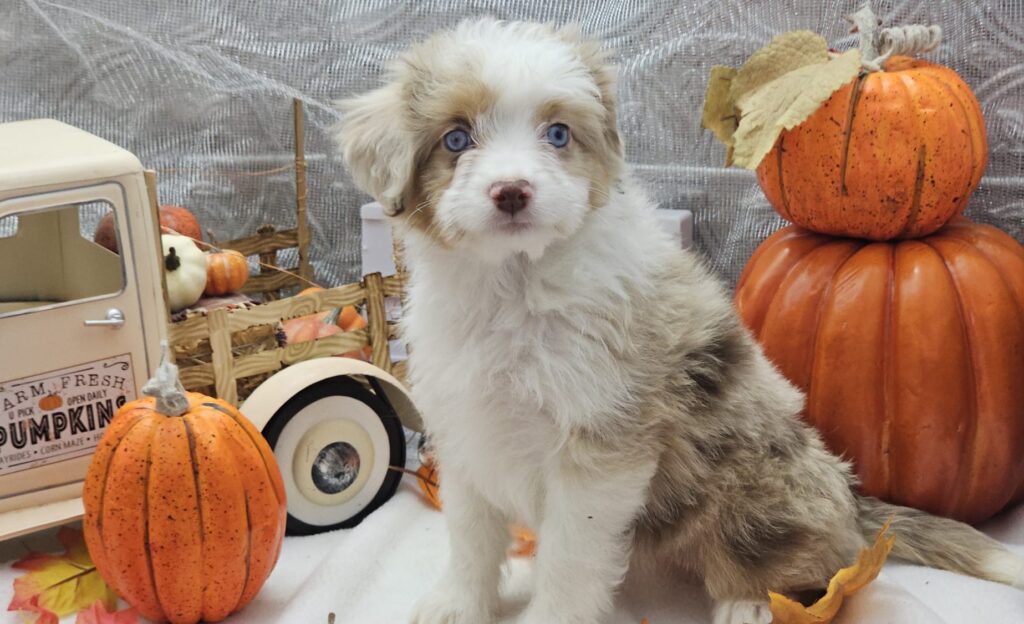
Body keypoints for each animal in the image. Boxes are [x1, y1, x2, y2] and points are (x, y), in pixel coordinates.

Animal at [339, 19, 1024, 622]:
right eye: (456, 140)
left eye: (557, 134)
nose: (512, 192)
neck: (514, 284)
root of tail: (852, 499)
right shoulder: (466, 427)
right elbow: (471, 537)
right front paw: (457, 606)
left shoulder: (601, 447)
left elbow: (569, 559)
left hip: (758, 486)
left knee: (817, 562)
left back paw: (752, 603)